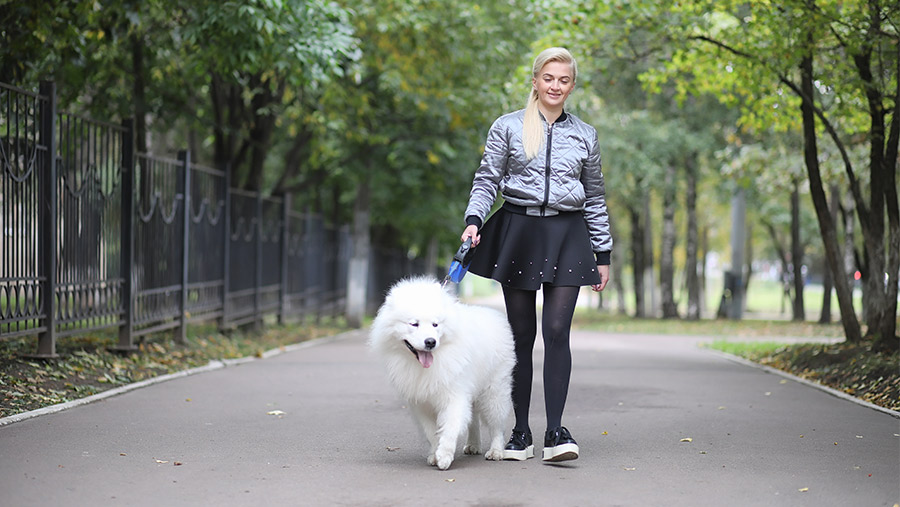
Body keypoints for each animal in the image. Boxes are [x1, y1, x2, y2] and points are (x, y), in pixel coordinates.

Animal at [370, 276, 516, 470]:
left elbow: (450, 427)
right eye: (414, 324)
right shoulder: (422, 404)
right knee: (473, 420)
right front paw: (434, 454)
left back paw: (496, 451)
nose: (430, 341)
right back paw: (473, 445)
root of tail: (496, 315)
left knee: (496, 425)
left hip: (494, 391)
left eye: (435, 324)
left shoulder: (454, 395)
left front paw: (444, 456)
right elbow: (431, 432)